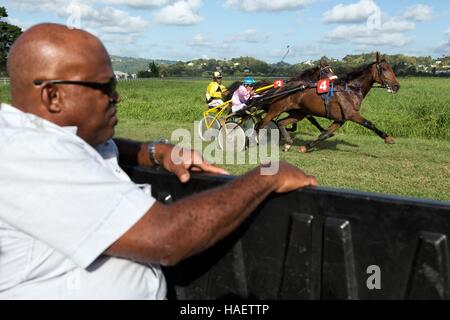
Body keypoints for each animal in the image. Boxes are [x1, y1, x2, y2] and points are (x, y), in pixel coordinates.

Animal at [258, 52, 400, 152]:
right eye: (384, 69)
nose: (397, 86)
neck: (350, 89)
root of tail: (283, 87)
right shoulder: (351, 114)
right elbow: (369, 123)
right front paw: (388, 137)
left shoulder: (340, 119)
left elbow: (325, 134)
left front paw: (305, 147)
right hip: (276, 108)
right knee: (261, 124)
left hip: (299, 113)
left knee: (281, 122)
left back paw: (287, 142)